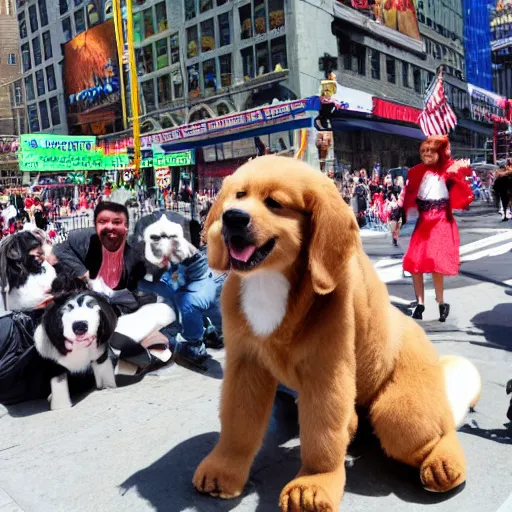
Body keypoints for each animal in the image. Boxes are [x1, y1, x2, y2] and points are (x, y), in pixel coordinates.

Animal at [194, 156, 482, 512]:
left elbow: (322, 433)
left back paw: (443, 464)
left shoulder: (326, 370)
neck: (272, 279)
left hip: (401, 414)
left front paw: (312, 484)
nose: (232, 217)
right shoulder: (245, 364)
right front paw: (224, 469)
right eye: (238, 195)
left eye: (274, 203)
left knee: (439, 429)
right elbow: (238, 422)